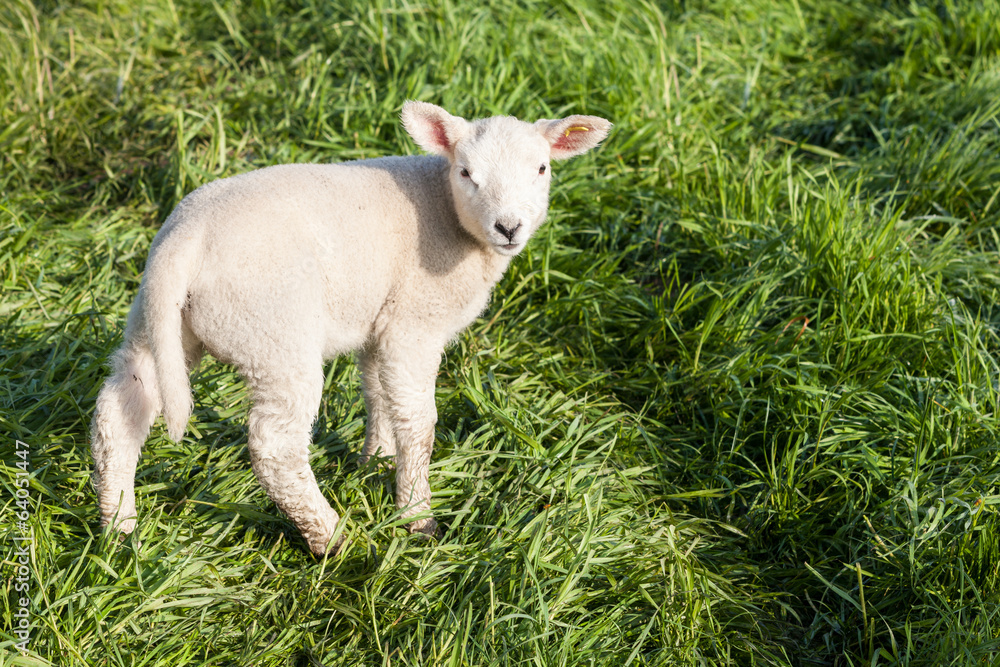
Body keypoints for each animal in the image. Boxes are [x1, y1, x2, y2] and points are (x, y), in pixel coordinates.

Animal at [90, 101, 611, 555]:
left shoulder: (378, 323)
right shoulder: (413, 324)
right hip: (274, 335)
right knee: (275, 448)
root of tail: (185, 239)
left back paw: (119, 527)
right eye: (466, 173)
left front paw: (373, 462)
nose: (509, 227)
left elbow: (378, 394)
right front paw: (416, 516)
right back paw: (333, 539)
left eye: (541, 169)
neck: (446, 211)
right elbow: (418, 423)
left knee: (121, 408)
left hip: (161, 322)